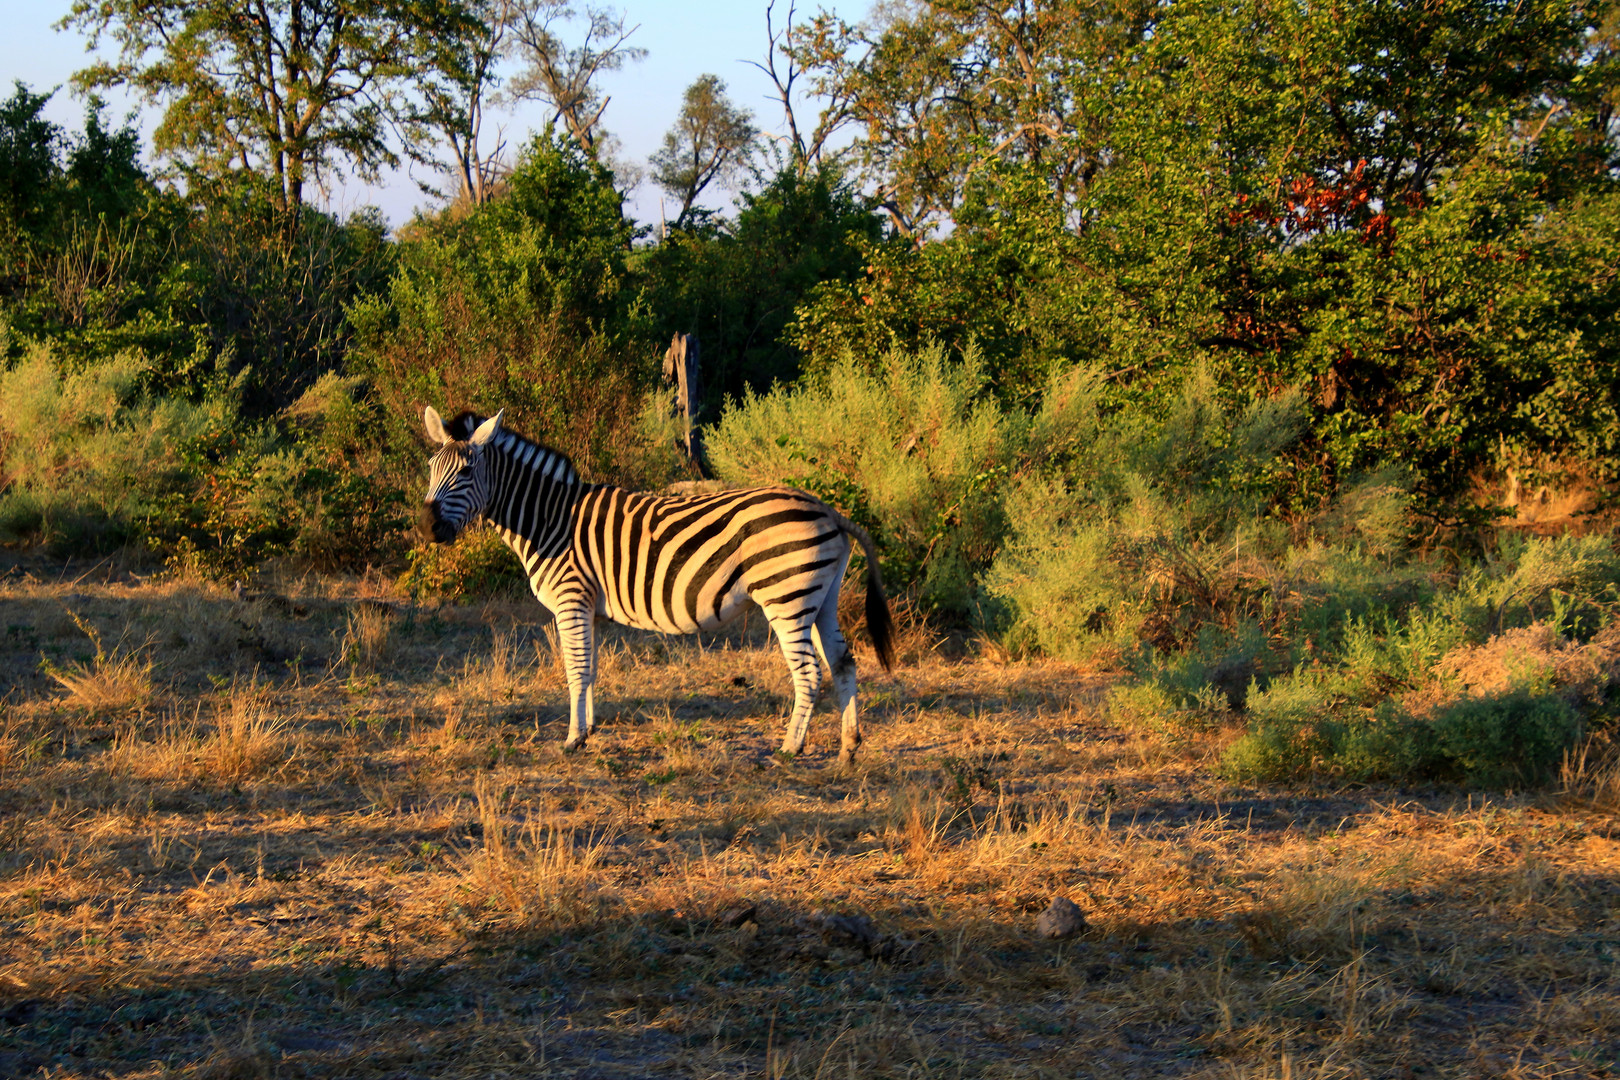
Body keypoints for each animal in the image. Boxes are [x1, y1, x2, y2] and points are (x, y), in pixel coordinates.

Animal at [417, 401, 900, 764]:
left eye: (465, 473)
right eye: (431, 468)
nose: (426, 527)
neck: (549, 518)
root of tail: (828, 510)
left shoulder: (571, 599)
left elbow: (575, 669)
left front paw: (572, 739)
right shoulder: (588, 607)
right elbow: (591, 669)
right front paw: (589, 729)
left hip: (786, 597)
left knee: (809, 671)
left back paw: (790, 747)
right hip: (820, 598)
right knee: (843, 663)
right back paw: (848, 748)